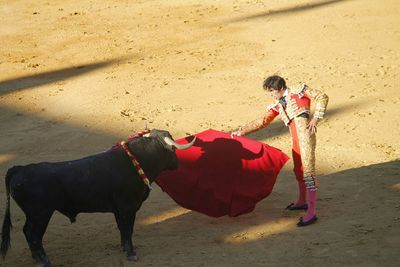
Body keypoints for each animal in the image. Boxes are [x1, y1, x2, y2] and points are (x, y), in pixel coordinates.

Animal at [0, 129, 194, 266]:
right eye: (173, 149)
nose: (177, 164)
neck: (136, 161)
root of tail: (18, 169)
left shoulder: (118, 210)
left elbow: (123, 229)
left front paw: (124, 248)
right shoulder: (128, 207)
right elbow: (128, 229)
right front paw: (131, 253)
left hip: (34, 215)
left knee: (27, 231)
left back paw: (36, 258)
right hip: (41, 214)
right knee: (33, 235)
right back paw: (45, 260)